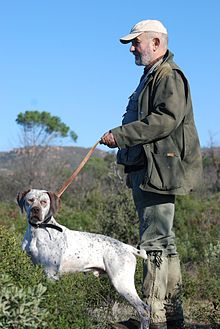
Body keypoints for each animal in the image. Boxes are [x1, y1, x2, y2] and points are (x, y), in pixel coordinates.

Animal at [16, 188, 150, 326]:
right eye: (30, 200)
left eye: (44, 202)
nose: (35, 210)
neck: (37, 232)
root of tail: (127, 247)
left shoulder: (50, 273)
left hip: (122, 283)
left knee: (143, 309)